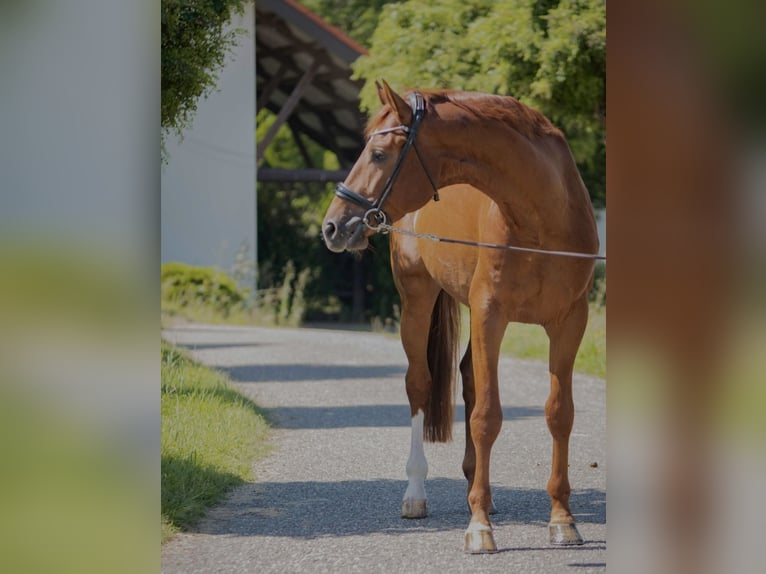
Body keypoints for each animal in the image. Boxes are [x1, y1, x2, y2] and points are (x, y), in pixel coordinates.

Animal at [320, 81, 604, 552]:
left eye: (377, 154)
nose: (332, 227)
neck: (542, 217)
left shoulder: (569, 322)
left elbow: (559, 413)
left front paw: (563, 520)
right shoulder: (491, 313)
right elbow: (487, 416)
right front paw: (478, 528)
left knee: (469, 374)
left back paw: (479, 490)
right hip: (417, 299)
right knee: (419, 384)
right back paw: (417, 494)